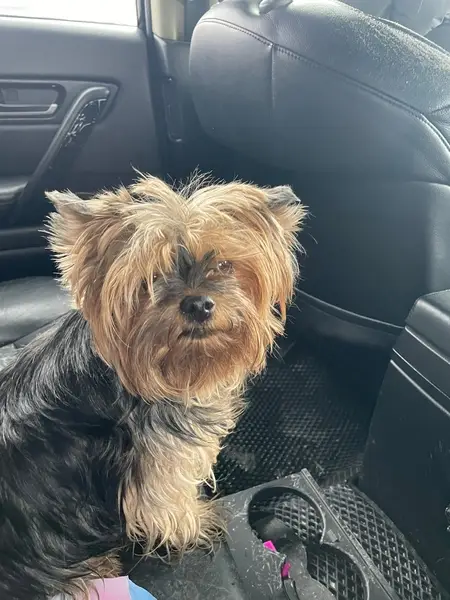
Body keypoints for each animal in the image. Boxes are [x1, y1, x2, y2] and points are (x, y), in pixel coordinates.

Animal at [0, 174, 305, 599]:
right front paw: (199, 521)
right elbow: (167, 507)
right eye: (153, 277)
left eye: (224, 264)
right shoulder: (160, 459)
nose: (198, 304)